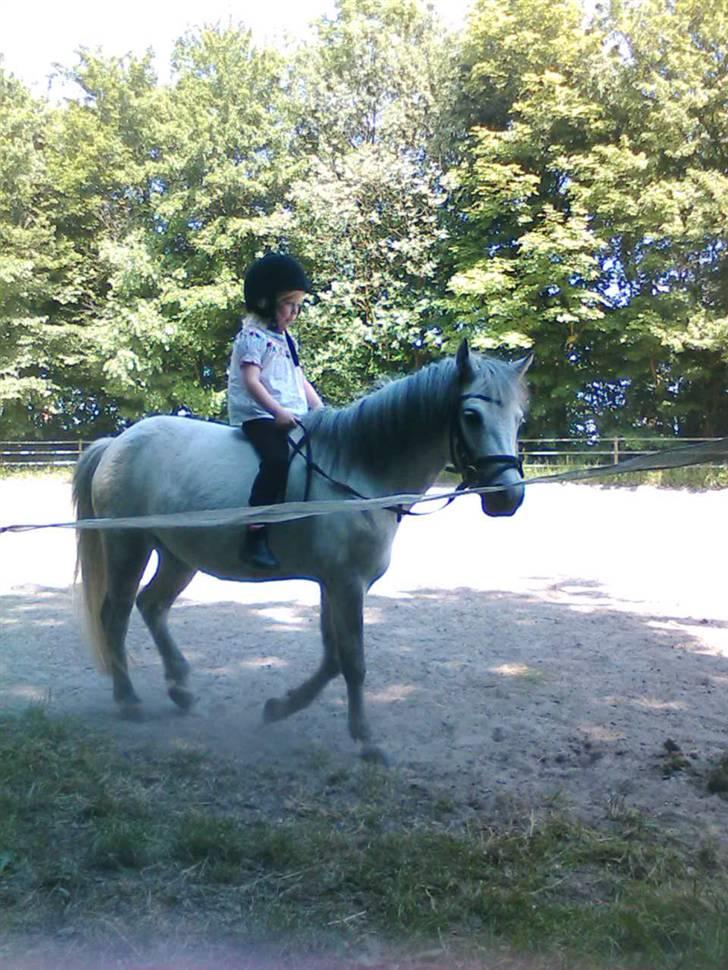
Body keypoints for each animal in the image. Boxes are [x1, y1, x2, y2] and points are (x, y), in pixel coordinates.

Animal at [72, 342, 528, 764]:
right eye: (471, 416)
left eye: (518, 419)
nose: (508, 497)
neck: (359, 470)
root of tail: (118, 443)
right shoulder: (347, 584)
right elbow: (353, 661)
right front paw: (367, 741)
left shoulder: (333, 583)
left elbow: (332, 659)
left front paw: (279, 707)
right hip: (129, 547)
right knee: (116, 615)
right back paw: (129, 699)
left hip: (178, 556)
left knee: (152, 605)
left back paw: (180, 689)